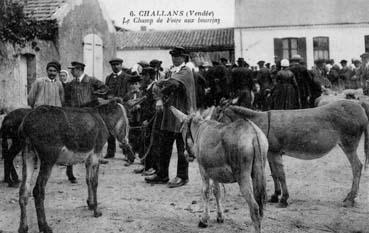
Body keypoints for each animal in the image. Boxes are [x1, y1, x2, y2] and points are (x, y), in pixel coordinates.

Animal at [17, 101, 134, 233]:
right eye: (127, 118)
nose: (126, 142)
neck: (102, 118)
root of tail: (26, 123)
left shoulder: (88, 159)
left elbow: (88, 180)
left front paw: (90, 204)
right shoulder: (95, 156)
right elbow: (94, 182)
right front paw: (96, 211)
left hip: (28, 155)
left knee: (24, 191)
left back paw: (23, 227)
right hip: (48, 159)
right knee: (38, 190)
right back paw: (44, 226)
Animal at [211, 100, 368, 208]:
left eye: (217, 117)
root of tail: (360, 108)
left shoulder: (275, 153)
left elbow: (281, 175)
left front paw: (284, 199)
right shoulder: (271, 154)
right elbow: (274, 174)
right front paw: (275, 196)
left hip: (349, 144)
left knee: (357, 167)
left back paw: (350, 199)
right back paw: (350, 197)